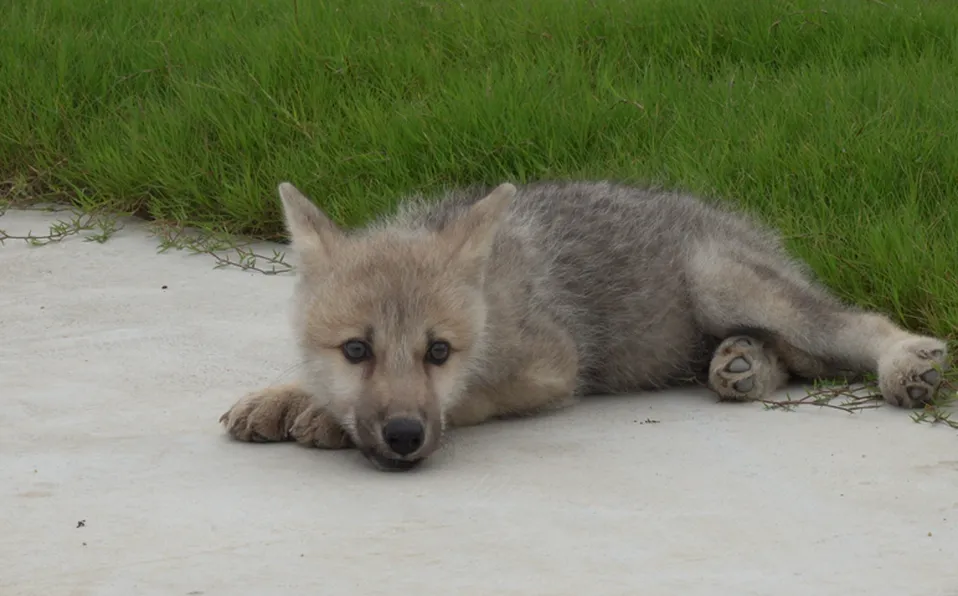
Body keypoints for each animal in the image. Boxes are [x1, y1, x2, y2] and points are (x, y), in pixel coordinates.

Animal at [219, 180, 949, 471]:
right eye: (355, 349)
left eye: (439, 352)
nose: (403, 438)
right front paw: (287, 395)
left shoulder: (552, 370)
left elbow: (469, 399)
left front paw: (320, 415)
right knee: (797, 358)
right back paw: (742, 364)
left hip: (722, 281)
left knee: (848, 327)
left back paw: (905, 362)